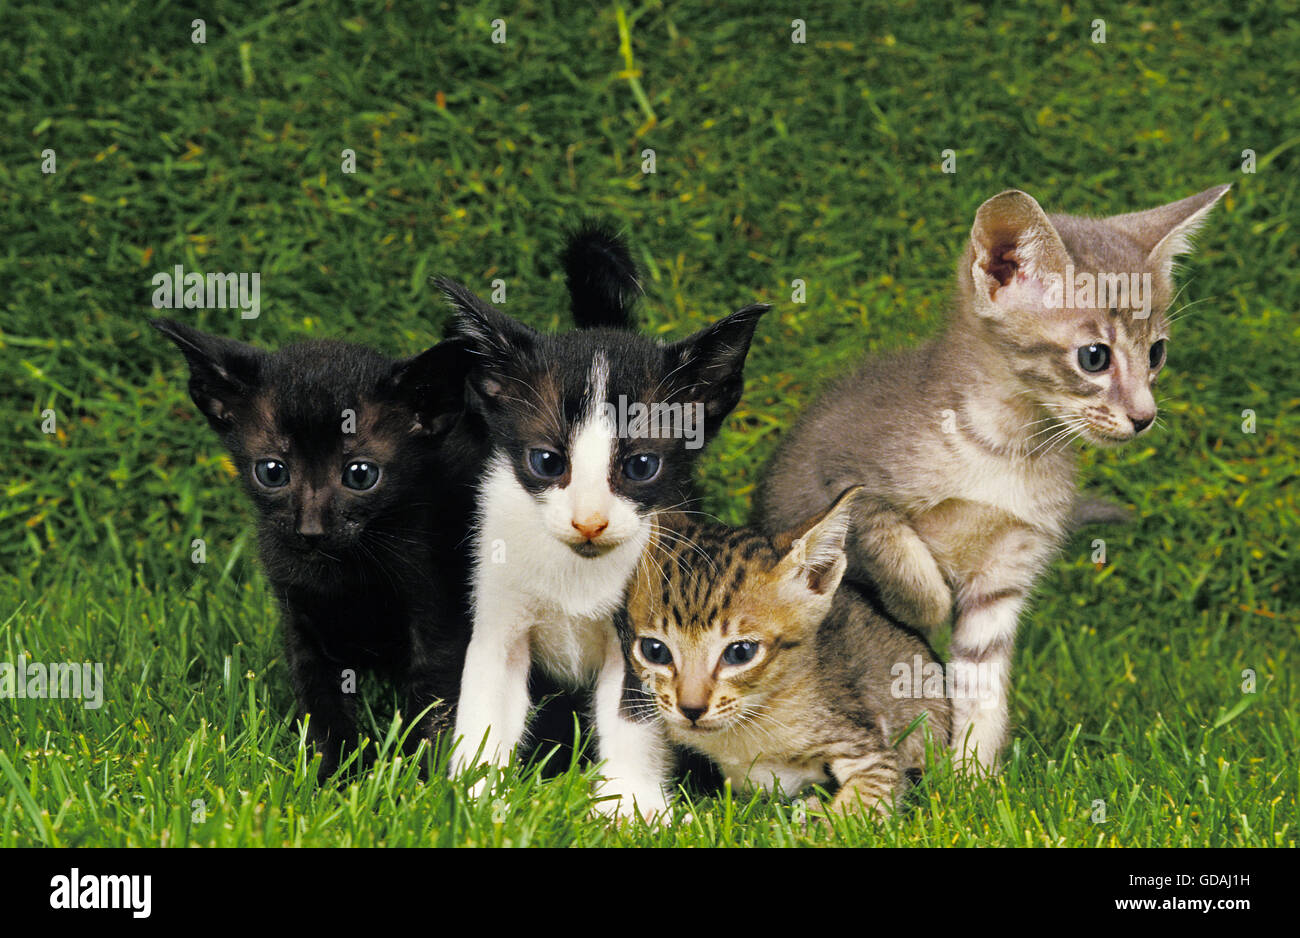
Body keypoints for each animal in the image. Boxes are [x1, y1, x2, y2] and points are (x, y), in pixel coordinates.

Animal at [152, 322, 478, 774]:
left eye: (361, 475)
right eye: (272, 471)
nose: (310, 529)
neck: (341, 575)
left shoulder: (438, 616)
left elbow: (433, 700)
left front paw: (414, 778)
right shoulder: (299, 620)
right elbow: (319, 703)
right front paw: (334, 773)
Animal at [447, 233, 769, 821]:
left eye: (641, 466)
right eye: (547, 462)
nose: (590, 522)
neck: (580, 573)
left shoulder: (646, 630)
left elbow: (635, 715)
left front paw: (633, 805)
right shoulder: (500, 611)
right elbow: (486, 701)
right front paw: (476, 802)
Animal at [624, 485, 951, 815]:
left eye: (740, 653)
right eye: (655, 651)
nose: (691, 709)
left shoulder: (867, 746)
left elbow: (865, 797)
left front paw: (826, 816)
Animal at [754, 183, 1227, 769]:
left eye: (1157, 352)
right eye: (1095, 357)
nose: (1145, 416)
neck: (1005, 451)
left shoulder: (1006, 570)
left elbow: (982, 681)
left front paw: (971, 774)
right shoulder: (833, 482)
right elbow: (899, 551)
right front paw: (927, 605)